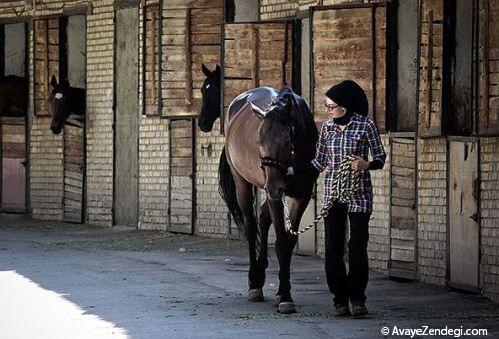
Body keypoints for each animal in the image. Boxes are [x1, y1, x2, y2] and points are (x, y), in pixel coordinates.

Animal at [198, 63, 318, 314]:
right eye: (259, 142)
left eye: (287, 140)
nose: (201, 122)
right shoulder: (275, 195)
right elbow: (280, 241)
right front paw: (285, 295)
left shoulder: (301, 195)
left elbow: (288, 243)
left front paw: (283, 291)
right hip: (243, 184)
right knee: (251, 226)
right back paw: (254, 282)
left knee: (262, 216)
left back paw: (261, 272)